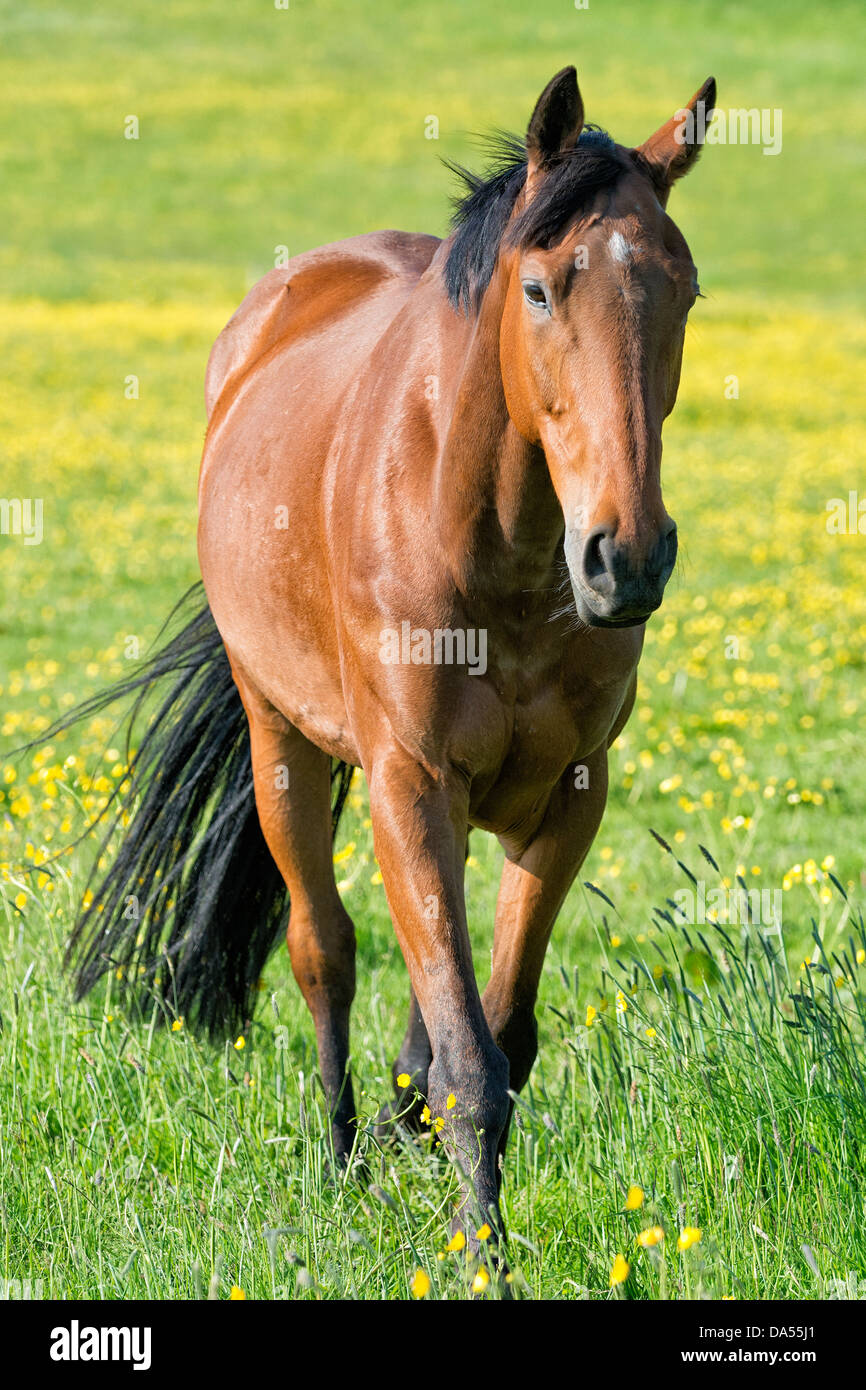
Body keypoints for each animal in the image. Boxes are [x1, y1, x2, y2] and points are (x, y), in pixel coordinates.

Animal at [55, 67, 717, 1262]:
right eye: (540, 289)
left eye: (683, 293)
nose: (627, 557)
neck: (495, 551)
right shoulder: (409, 786)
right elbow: (464, 1055)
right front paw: (482, 1255)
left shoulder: (569, 798)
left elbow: (495, 1032)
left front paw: (447, 1178)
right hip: (282, 744)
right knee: (322, 950)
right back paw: (338, 1156)